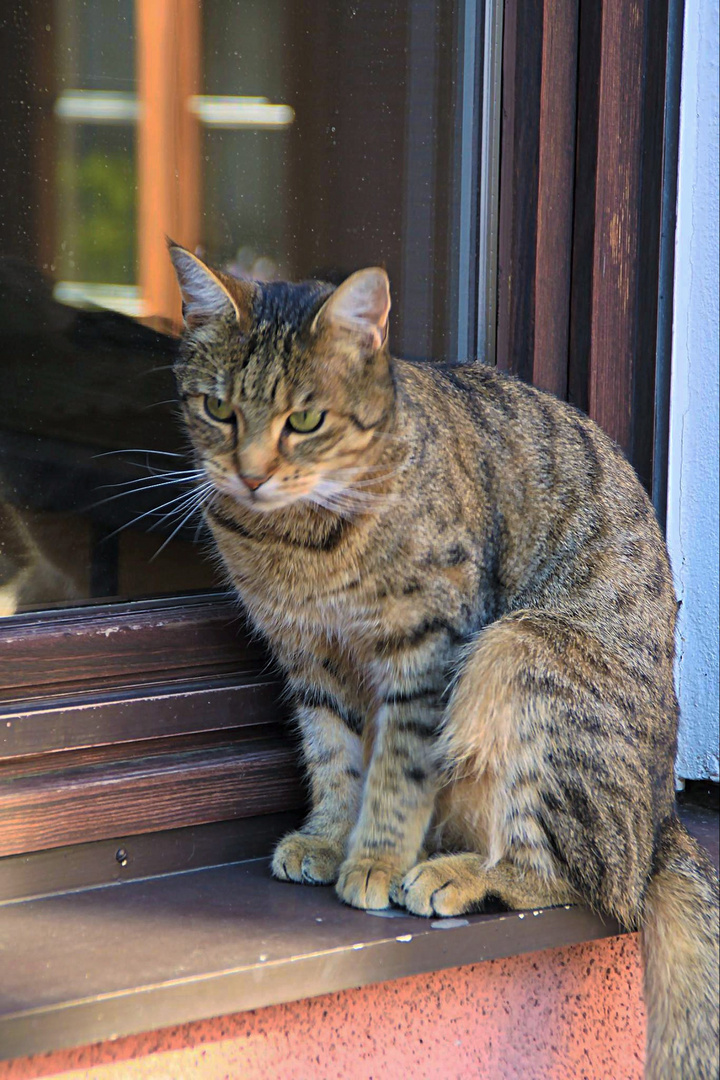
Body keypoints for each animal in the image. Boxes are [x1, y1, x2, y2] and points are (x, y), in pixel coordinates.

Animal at [171, 245, 716, 1080]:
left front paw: (373, 857)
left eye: (305, 420)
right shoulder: (310, 659)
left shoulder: (428, 648)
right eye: (218, 410)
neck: (298, 539)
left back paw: (458, 873)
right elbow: (333, 756)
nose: (251, 475)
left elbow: (398, 771)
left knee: (577, 882)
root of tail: (664, 827)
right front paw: (331, 836)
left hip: (520, 650)